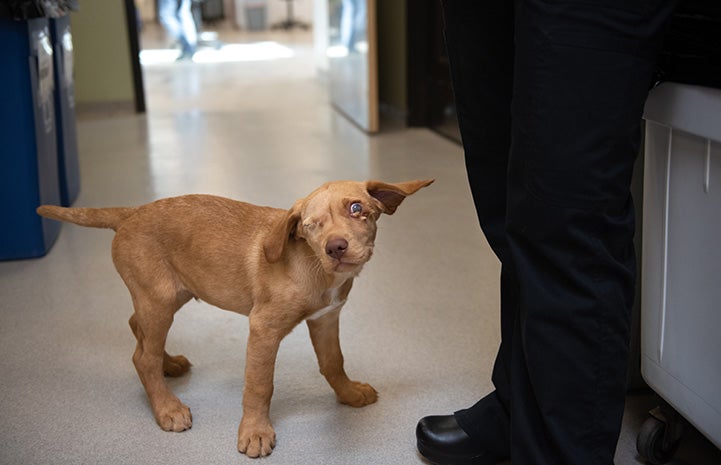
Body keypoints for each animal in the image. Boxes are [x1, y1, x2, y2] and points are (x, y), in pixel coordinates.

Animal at [36, 179, 430, 456]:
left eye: (356, 208)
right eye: (311, 225)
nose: (335, 248)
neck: (311, 266)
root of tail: (132, 212)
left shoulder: (326, 318)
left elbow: (334, 362)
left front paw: (348, 394)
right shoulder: (263, 328)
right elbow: (259, 385)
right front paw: (255, 432)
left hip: (171, 294)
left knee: (139, 331)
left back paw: (168, 364)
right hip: (159, 299)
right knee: (142, 357)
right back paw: (166, 407)